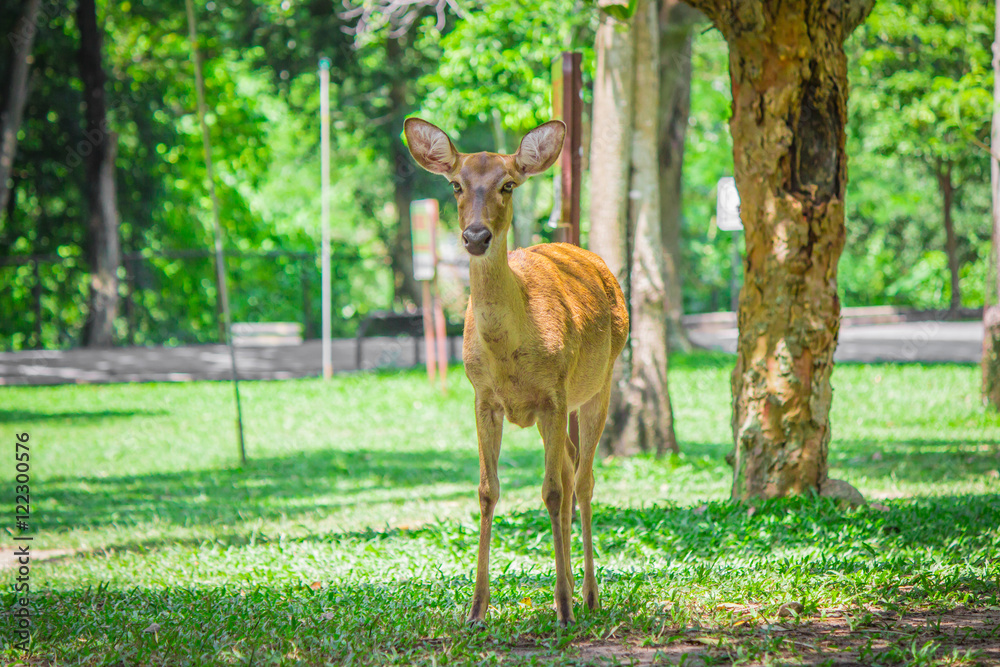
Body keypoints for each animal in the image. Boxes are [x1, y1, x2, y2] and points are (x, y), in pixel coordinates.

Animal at [402, 116, 628, 628]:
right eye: (455, 184)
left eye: (508, 184)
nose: (475, 236)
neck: (510, 353)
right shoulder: (483, 397)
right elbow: (488, 490)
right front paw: (476, 610)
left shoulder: (554, 394)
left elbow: (552, 491)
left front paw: (562, 609)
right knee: (570, 465)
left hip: (600, 383)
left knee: (582, 480)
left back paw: (588, 595)